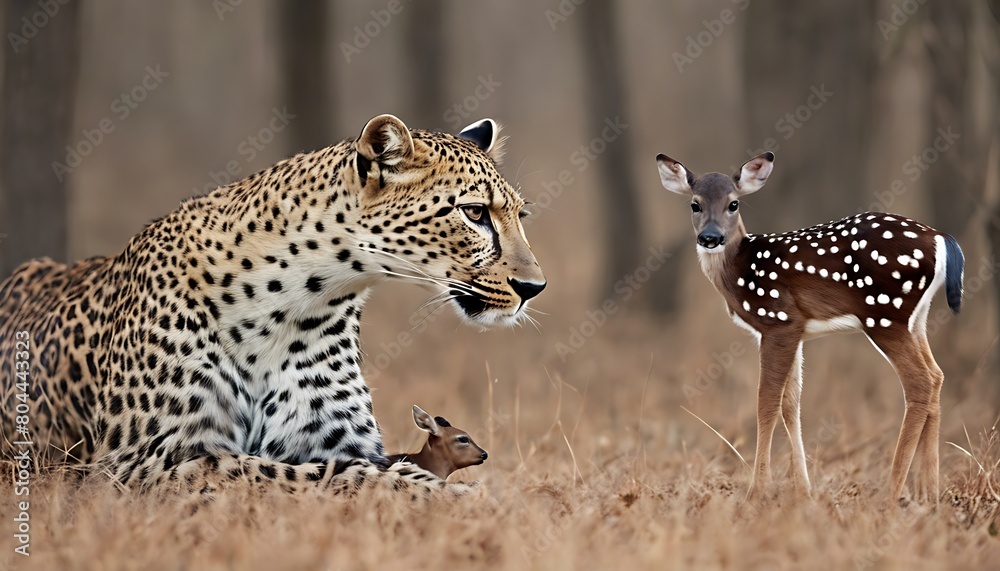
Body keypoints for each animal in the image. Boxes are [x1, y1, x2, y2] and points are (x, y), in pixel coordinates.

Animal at [0, 114, 545, 498]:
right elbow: (281, 472)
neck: (298, 303)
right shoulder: (140, 462)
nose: (534, 287)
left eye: (520, 216)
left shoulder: (337, 439)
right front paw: (453, 496)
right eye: (474, 213)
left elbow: (340, 466)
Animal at [655, 151, 964, 504]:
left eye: (733, 203)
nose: (710, 237)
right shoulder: (797, 331)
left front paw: (758, 491)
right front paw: (803, 490)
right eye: (695, 204)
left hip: (885, 314)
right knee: (937, 375)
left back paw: (890, 494)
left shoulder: (777, 321)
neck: (739, 271)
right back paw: (930, 493)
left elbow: (767, 402)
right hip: (917, 319)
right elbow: (792, 403)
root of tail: (943, 239)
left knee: (920, 382)